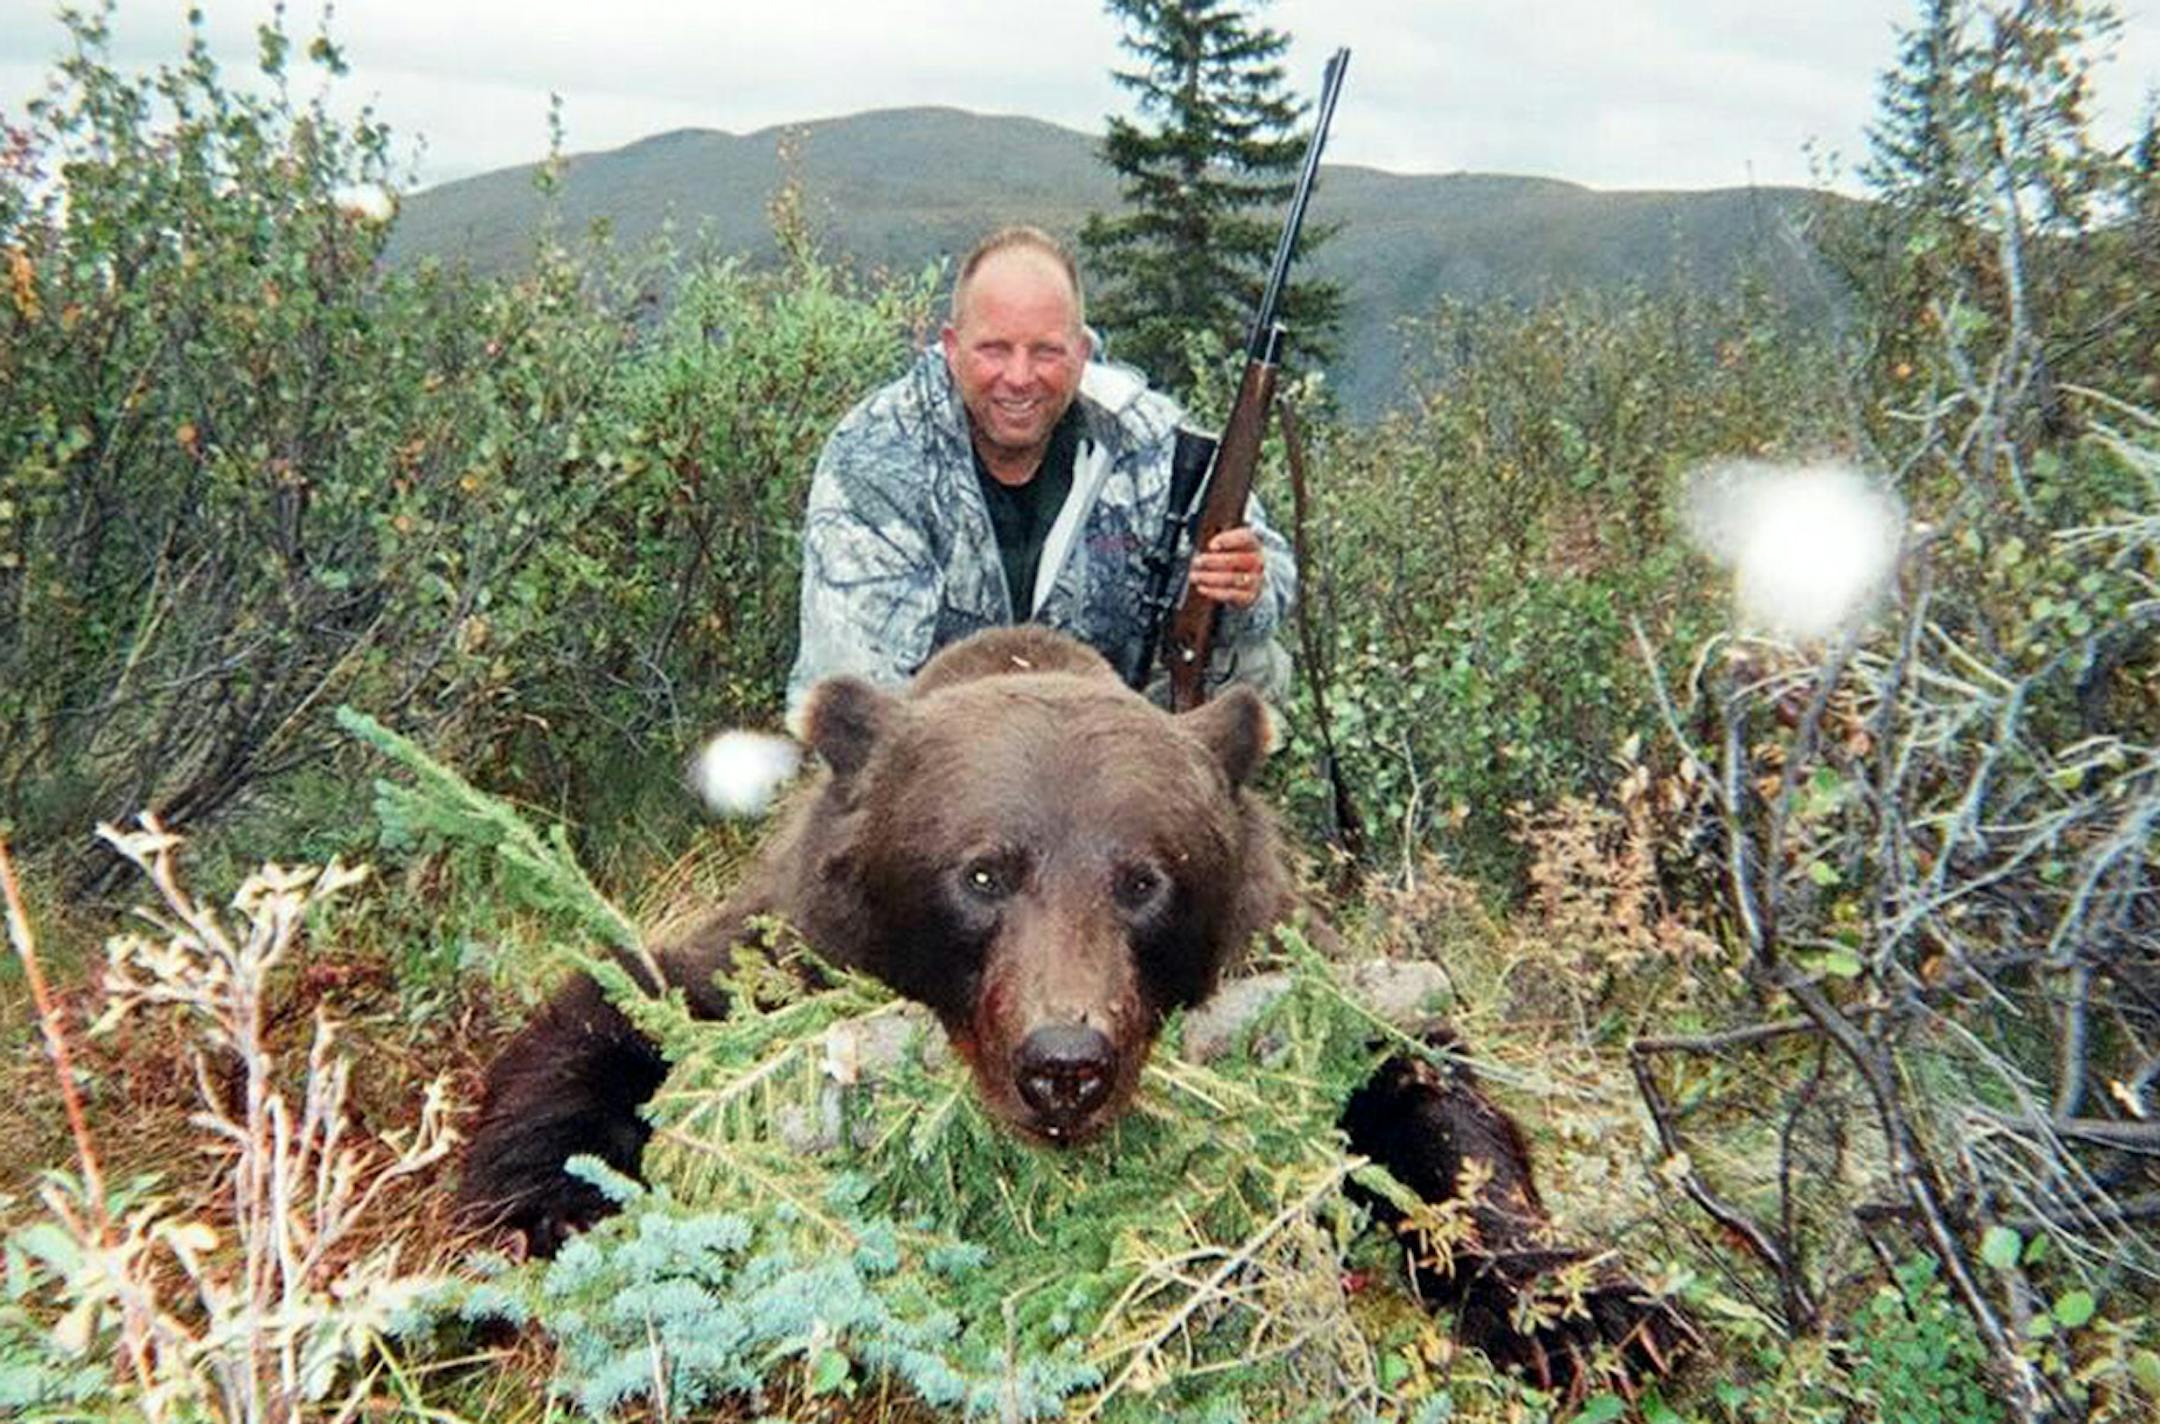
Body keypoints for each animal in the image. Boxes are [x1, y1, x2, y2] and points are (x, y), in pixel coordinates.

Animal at [458, 625, 1696, 1397]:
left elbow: (1427, 1093)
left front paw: (1594, 1305)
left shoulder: (1287, 962)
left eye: (1144, 878)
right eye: (983, 871)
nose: (1066, 1062)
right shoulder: (784, 943)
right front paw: (542, 1214)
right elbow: (616, 1010)